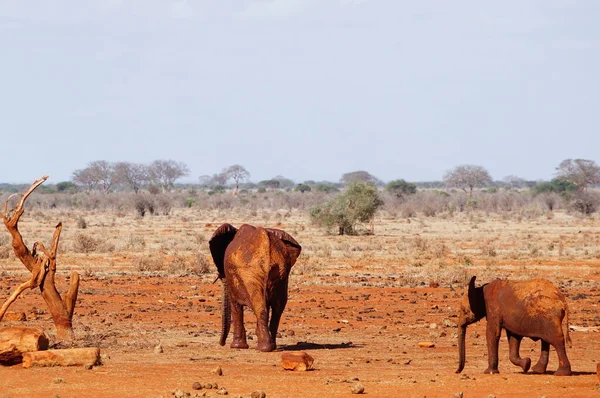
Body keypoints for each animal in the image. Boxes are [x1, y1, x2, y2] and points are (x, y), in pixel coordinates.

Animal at [209, 224, 300, 352]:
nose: (221, 343)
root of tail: (266, 245)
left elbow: (235, 305)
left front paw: (237, 346)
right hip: (281, 273)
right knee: (278, 307)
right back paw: (271, 346)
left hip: (251, 274)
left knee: (260, 307)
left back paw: (264, 348)